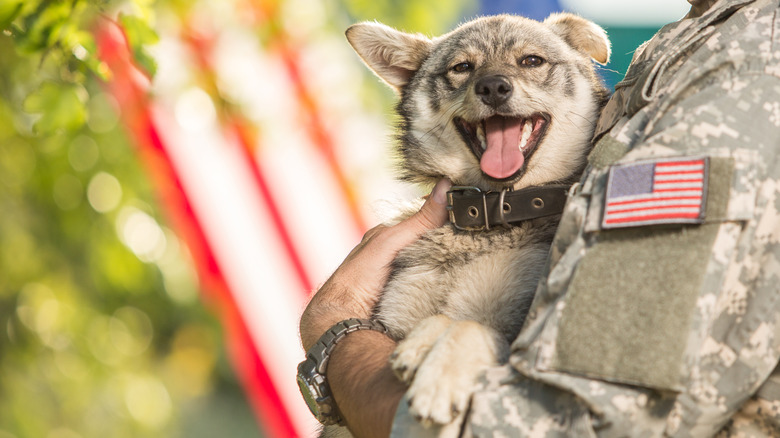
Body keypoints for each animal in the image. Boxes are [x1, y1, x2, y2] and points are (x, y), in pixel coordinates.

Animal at [330, 12, 608, 434]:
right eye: (461, 68)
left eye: (531, 61)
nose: (493, 87)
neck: (489, 215)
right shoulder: (392, 318)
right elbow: (441, 318)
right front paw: (423, 344)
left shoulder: (521, 332)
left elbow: (471, 326)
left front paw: (439, 376)